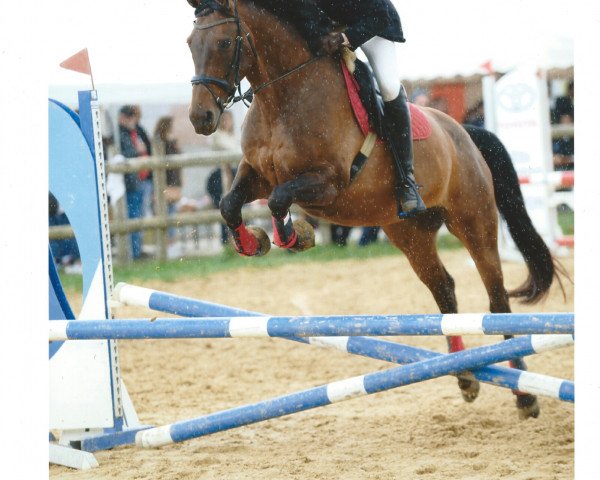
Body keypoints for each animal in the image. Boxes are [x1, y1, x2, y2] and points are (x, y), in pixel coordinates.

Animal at [185, 0, 560, 420]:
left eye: (223, 42)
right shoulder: (255, 174)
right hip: (409, 234)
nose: (200, 119)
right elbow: (229, 204)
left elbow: (280, 199)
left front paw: (298, 236)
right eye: (190, 43)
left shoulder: (328, 183)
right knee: (444, 289)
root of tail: (464, 132)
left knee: (496, 299)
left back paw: (524, 394)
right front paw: (255, 242)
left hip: (474, 222)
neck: (283, 96)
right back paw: (465, 376)